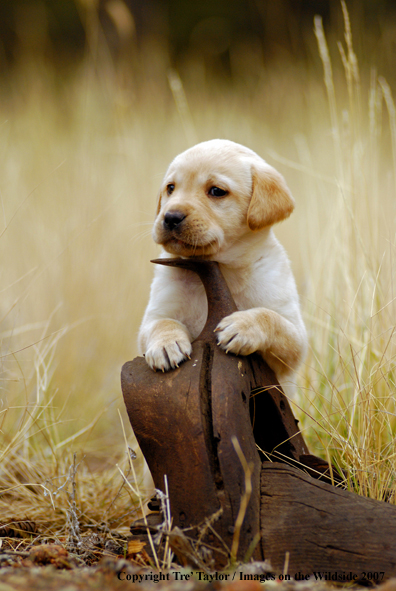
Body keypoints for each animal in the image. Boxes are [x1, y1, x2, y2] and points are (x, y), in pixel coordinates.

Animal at [138, 140, 308, 396]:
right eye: (171, 188)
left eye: (217, 191)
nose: (170, 217)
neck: (224, 269)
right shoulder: (153, 316)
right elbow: (162, 323)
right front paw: (167, 345)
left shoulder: (295, 341)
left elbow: (270, 318)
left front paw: (243, 326)